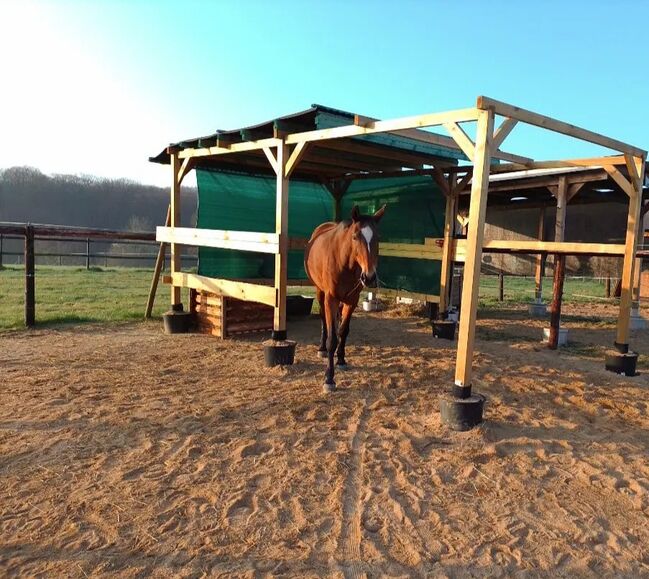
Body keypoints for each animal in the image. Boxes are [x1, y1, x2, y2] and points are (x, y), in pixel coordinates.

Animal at [304, 206, 384, 392]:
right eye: (355, 237)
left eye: (377, 238)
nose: (369, 277)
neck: (344, 263)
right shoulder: (331, 299)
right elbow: (332, 338)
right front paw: (329, 378)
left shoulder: (352, 301)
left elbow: (343, 331)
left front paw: (340, 359)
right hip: (320, 292)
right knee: (323, 319)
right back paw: (321, 348)